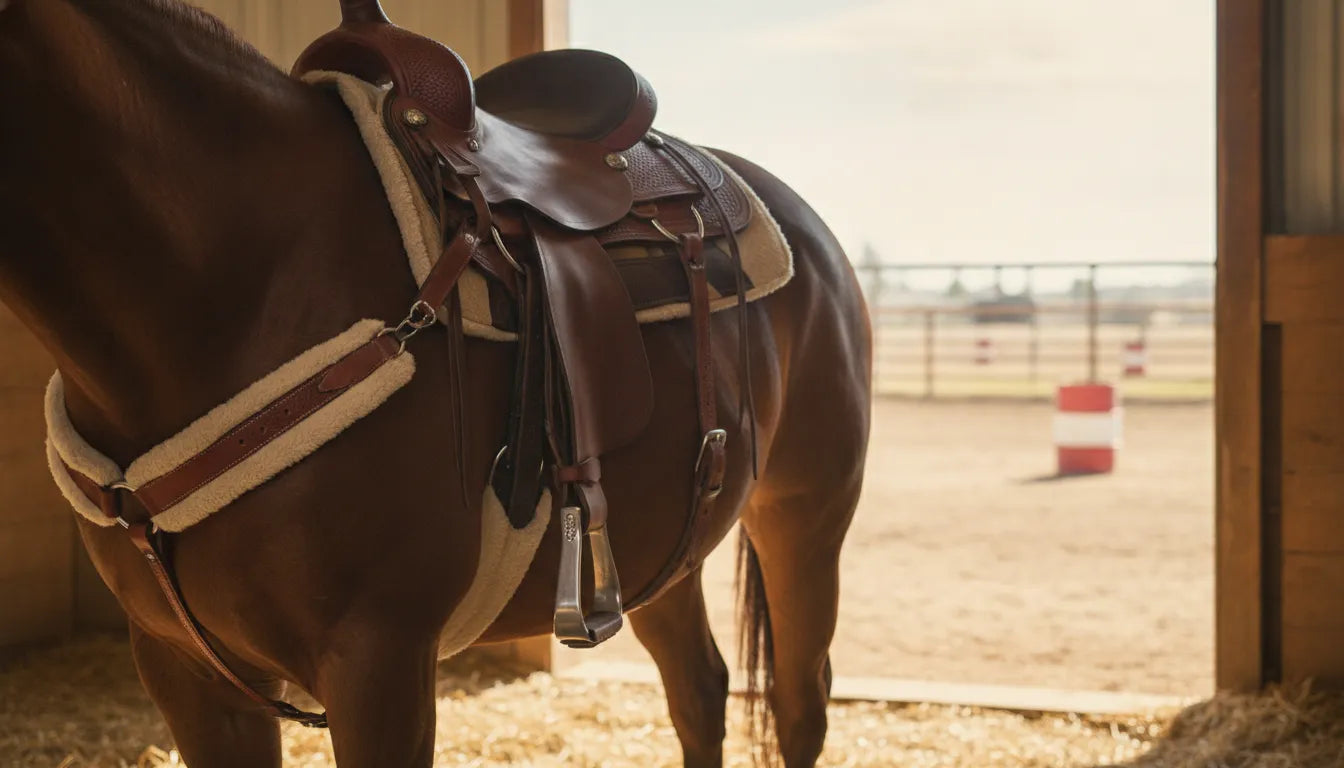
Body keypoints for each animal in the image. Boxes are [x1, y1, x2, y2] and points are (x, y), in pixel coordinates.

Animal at [0, 1, 872, 766]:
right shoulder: (186, 672)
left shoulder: (379, 661)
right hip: (660, 552)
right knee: (698, 689)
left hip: (805, 515)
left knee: (799, 703)